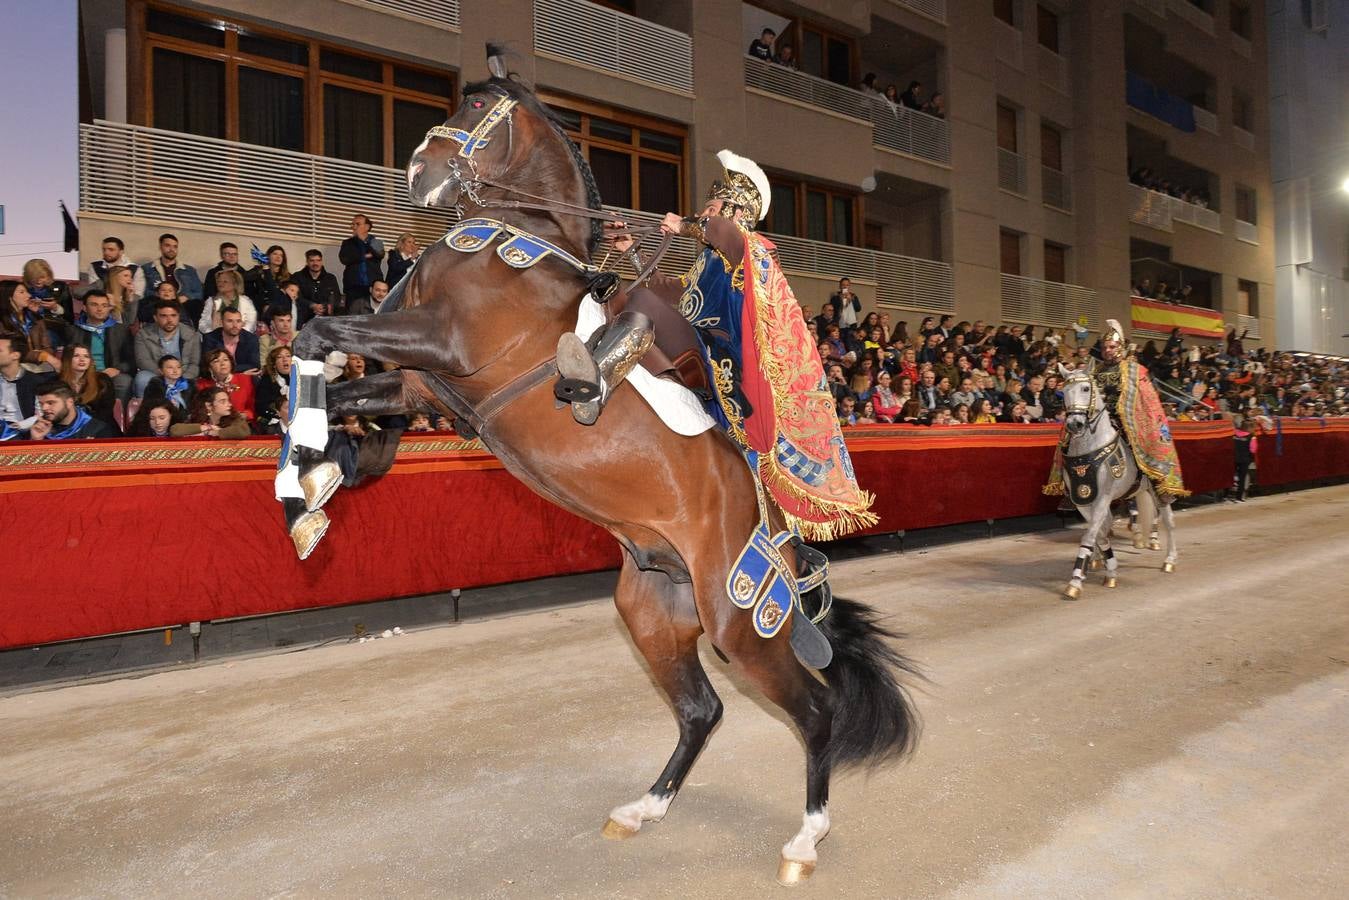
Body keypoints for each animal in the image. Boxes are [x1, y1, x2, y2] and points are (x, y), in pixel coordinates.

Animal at [281, 56, 917, 885]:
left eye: (476, 107)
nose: (421, 170)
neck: (518, 242)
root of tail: (783, 542)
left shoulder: (442, 344)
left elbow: (314, 333)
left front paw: (306, 481)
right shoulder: (425, 384)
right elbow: (338, 390)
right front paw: (318, 476)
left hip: (740, 624)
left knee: (814, 711)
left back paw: (804, 840)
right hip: (652, 611)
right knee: (701, 711)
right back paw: (643, 809)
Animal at [1057, 361, 1176, 601]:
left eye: (1086, 388)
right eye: (1064, 391)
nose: (1075, 424)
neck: (1088, 449)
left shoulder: (1103, 497)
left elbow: (1090, 535)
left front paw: (1075, 582)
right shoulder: (1084, 501)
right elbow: (1100, 534)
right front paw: (1107, 567)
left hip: (1157, 490)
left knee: (1168, 519)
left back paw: (1169, 560)